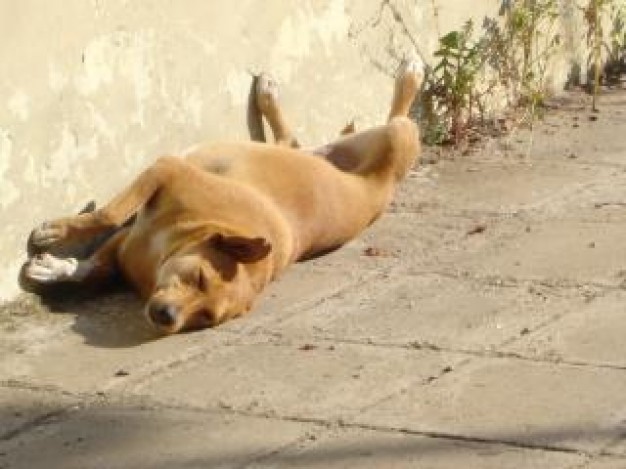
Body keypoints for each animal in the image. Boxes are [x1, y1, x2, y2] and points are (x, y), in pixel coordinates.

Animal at [24, 58, 424, 332]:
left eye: (204, 318)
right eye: (201, 278)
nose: (166, 316)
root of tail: (384, 186)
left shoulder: (131, 238)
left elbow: (96, 267)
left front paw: (55, 265)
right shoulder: (165, 172)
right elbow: (106, 220)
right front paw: (56, 242)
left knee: (295, 139)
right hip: (391, 138)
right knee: (392, 116)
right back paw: (410, 73)